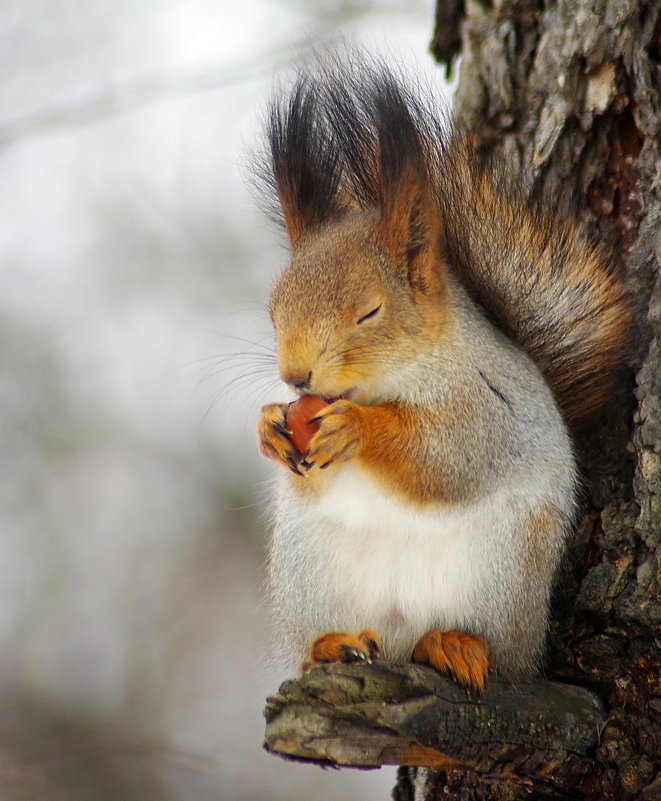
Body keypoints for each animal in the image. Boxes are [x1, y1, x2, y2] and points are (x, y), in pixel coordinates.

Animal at [251, 57, 628, 692]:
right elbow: (307, 476)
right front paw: (271, 425)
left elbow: (444, 455)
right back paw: (331, 647)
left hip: (500, 575)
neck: (383, 384)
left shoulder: (491, 405)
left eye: (370, 312)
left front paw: (357, 428)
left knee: (492, 651)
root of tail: (398, 635)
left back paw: (453, 644)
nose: (296, 376)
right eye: (273, 308)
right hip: (310, 573)